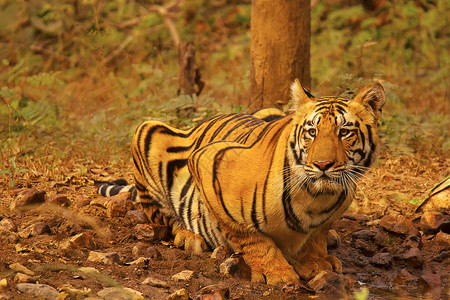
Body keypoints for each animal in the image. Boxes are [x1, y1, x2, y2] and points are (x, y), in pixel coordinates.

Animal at [99, 80, 386, 286]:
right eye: (312, 132)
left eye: (344, 132)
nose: (323, 165)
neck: (317, 198)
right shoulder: (207, 163)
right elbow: (250, 237)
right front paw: (276, 272)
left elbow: (316, 235)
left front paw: (316, 261)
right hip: (146, 131)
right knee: (164, 218)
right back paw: (187, 236)